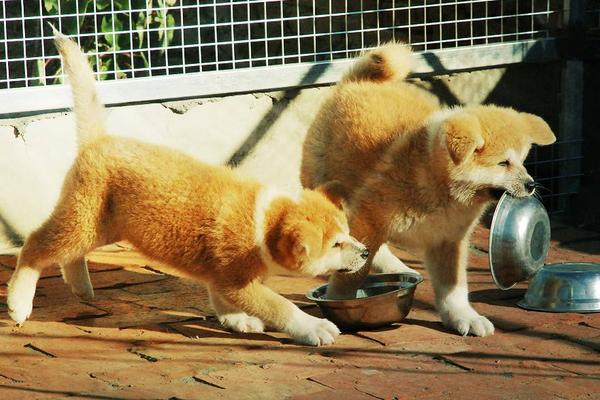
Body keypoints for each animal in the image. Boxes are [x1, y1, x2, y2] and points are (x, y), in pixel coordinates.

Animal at [7, 32, 368, 346]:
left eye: (347, 232)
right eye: (335, 244)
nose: (365, 252)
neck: (263, 220)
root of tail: (99, 140)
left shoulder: (222, 277)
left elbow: (219, 298)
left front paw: (236, 320)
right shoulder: (238, 281)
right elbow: (280, 305)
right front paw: (314, 328)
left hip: (104, 227)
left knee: (68, 252)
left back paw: (81, 287)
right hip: (85, 220)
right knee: (36, 245)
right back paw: (19, 303)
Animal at [302, 43, 556, 338]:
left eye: (524, 160)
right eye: (503, 163)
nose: (531, 185)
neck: (440, 188)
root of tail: (360, 81)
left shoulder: (448, 240)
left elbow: (453, 288)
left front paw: (463, 317)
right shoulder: (369, 219)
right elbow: (352, 273)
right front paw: (340, 302)